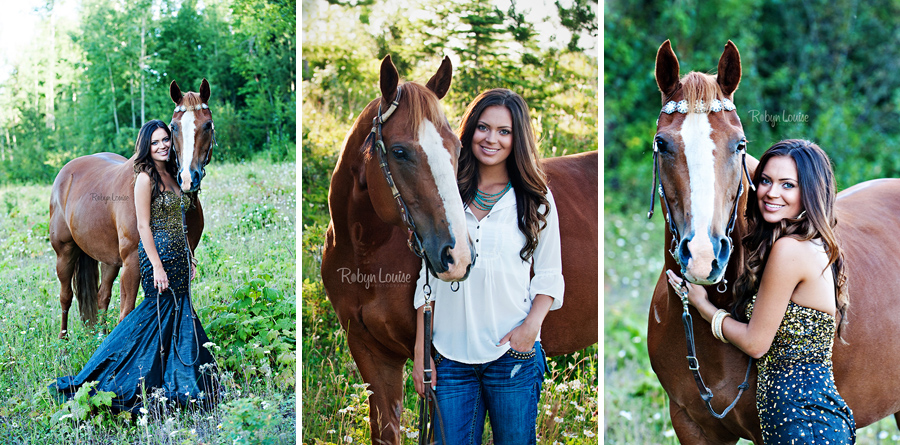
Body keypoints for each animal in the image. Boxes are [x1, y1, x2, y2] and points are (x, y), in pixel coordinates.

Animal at [50, 79, 215, 336]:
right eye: (174, 127)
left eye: (207, 125)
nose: (188, 178)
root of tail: (65, 172)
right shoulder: (132, 262)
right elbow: (126, 313)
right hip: (65, 252)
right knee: (65, 296)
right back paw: (64, 342)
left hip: (108, 260)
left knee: (102, 296)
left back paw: (100, 336)